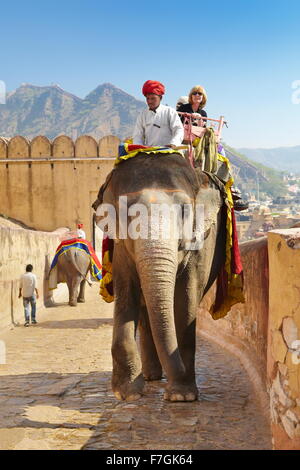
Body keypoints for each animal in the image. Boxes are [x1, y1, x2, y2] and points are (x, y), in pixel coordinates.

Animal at [96, 152, 225, 402]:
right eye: (125, 213)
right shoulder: (121, 248)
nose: (179, 371)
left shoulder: (202, 242)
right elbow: (125, 291)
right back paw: (151, 377)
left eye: (185, 211)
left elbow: (187, 297)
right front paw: (127, 394)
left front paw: (182, 396)